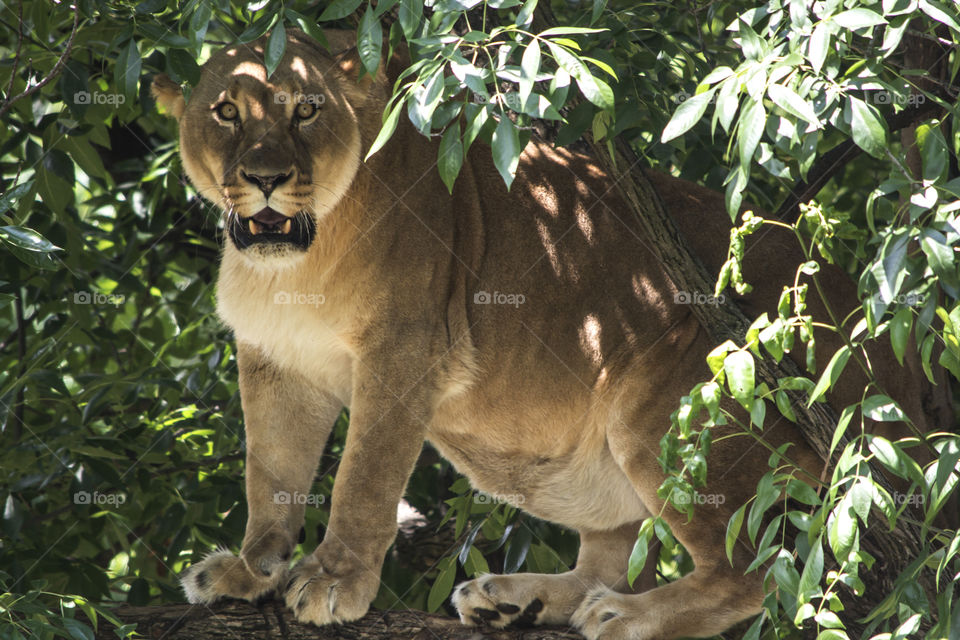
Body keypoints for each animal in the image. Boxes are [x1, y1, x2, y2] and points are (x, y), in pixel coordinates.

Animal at [151, 29, 946, 639]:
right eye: (226, 111)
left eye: (308, 109)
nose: (265, 176)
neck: (294, 267)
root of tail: (885, 346)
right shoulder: (274, 361)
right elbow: (272, 477)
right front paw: (250, 571)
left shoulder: (405, 348)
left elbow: (362, 479)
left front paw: (333, 580)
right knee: (607, 557)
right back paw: (510, 601)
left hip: (671, 399)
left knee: (751, 570)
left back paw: (622, 616)